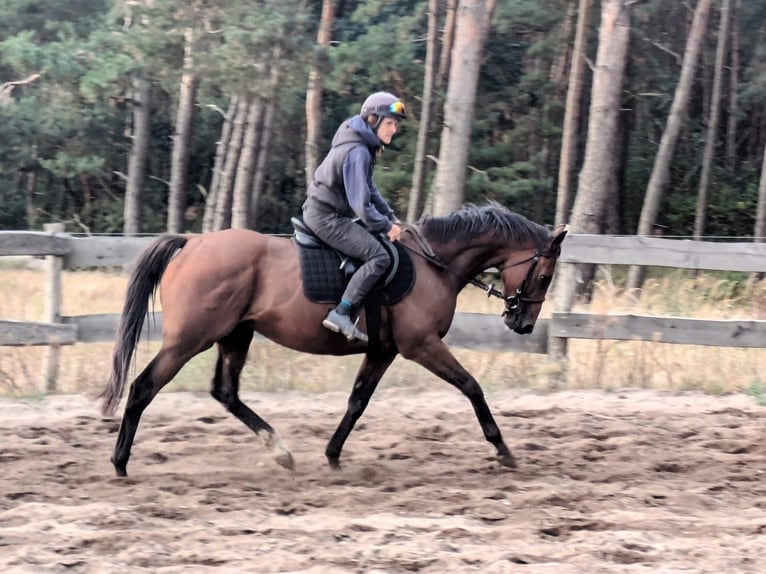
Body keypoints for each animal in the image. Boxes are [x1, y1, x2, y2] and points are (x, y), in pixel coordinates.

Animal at [102, 205, 568, 480]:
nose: (522, 323)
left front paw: (332, 454)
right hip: (191, 339)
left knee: (225, 392)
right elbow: (472, 387)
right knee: (144, 387)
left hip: (236, 335)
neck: (433, 264)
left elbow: (357, 402)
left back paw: (281, 451)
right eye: (545, 276)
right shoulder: (421, 345)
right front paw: (502, 449)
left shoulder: (383, 350)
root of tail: (192, 243)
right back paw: (120, 463)